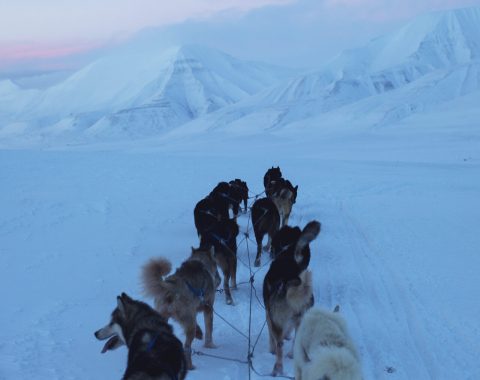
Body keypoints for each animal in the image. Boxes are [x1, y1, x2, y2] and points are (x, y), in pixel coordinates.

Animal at [262, 221, 322, 376]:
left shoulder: (270, 316)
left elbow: (271, 336)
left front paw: (271, 349)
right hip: (302, 319)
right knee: (296, 341)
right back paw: (291, 355)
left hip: (277, 320)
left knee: (279, 346)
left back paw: (277, 369)